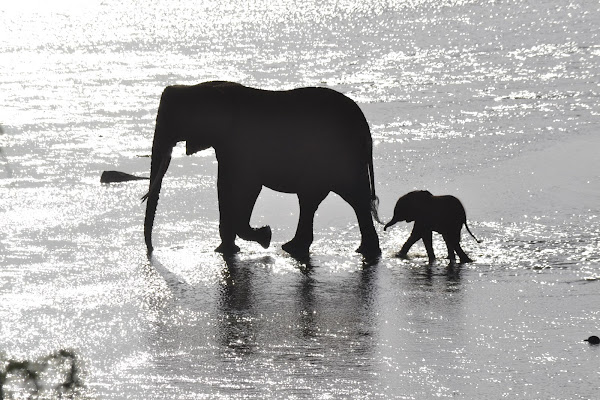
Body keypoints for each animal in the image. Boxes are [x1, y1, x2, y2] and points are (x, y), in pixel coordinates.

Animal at [142, 82, 380, 260]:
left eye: (173, 119)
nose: (152, 251)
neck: (201, 87)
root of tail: (365, 125)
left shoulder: (242, 143)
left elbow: (247, 186)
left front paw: (265, 236)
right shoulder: (227, 145)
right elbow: (225, 185)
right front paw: (226, 250)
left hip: (337, 155)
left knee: (338, 197)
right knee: (325, 199)